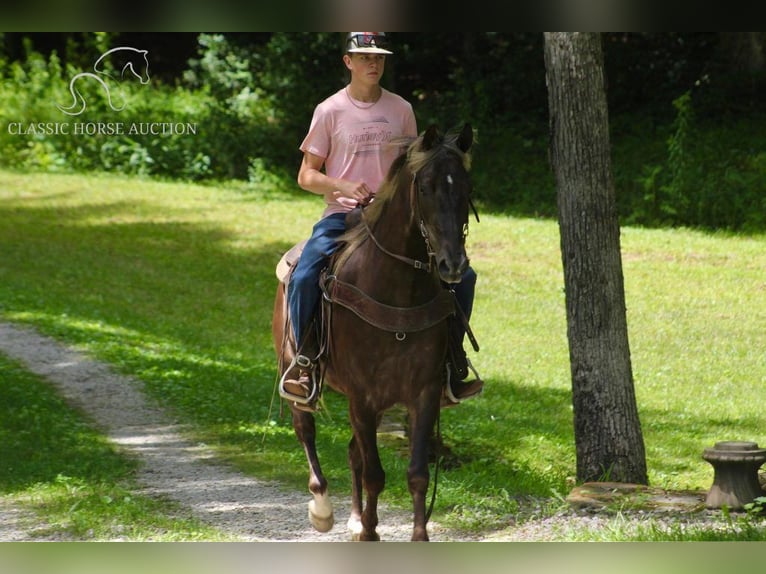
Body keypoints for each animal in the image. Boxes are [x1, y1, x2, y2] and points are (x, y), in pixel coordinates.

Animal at [270, 124, 474, 544]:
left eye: (466, 186)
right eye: (425, 186)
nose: (453, 264)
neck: (397, 289)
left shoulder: (423, 392)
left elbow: (416, 473)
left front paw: (414, 536)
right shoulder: (362, 395)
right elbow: (375, 473)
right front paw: (368, 533)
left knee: (353, 453)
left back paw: (353, 517)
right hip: (297, 375)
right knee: (306, 432)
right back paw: (323, 509)